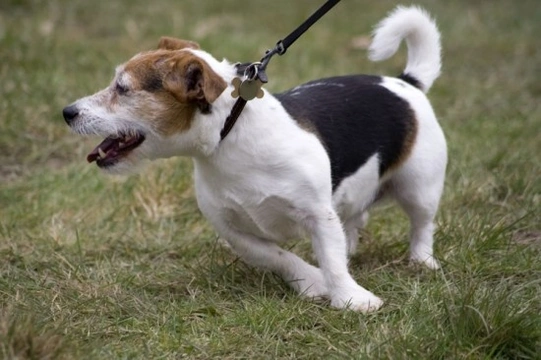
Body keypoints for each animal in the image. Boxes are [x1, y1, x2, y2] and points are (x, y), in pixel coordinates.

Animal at [62, 7, 442, 314]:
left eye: (122, 89)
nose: (67, 112)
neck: (227, 137)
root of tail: (405, 81)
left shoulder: (318, 215)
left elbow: (332, 261)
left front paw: (352, 298)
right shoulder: (234, 231)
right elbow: (281, 258)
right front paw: (313, 282)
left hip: (420, 188)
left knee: (421, 225)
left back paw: (422, 261)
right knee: (352, 223)